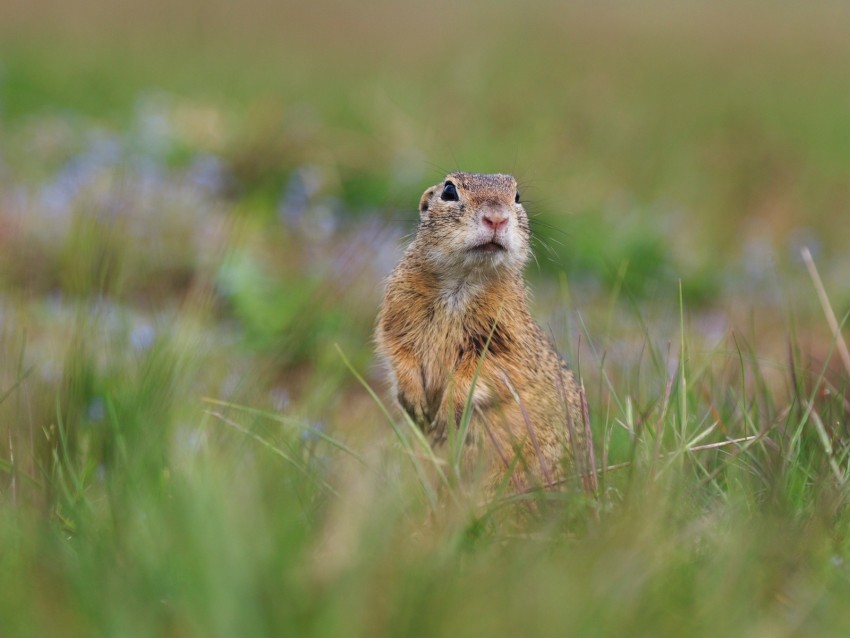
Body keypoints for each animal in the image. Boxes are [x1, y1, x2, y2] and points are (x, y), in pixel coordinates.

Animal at [374, 171, 592, 496]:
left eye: (517, 196)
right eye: (449, 191)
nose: (496, 218)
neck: (463, 280)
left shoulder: (507, 335)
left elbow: (490, 369)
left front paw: (446, 414)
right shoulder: (397, 312)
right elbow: (397, 350)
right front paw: (416, 404)